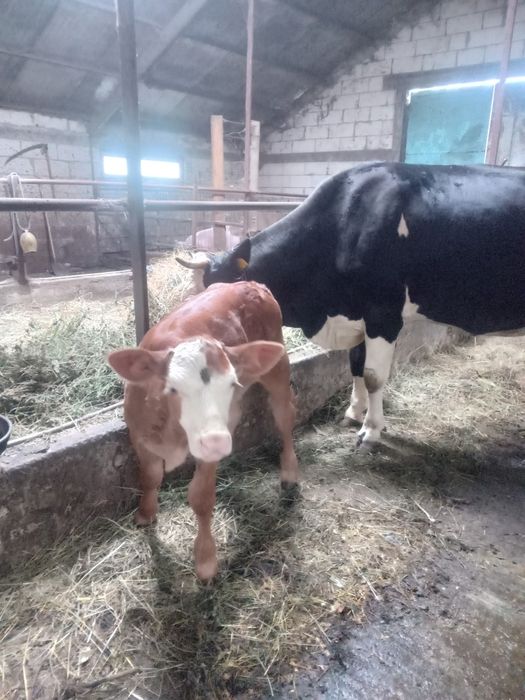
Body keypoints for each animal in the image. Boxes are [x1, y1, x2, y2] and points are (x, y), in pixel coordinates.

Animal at [108, 281, 298, 581]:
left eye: (232, 383)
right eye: (173, 387)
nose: (217, 441)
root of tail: (250, 283)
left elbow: (201, 497)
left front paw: (206, 560)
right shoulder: (139, 436)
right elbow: (149, 477)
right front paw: (145, 514)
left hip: (279, 368)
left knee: (285, 417)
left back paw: (290, 471)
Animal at [176, 161, 525, 446]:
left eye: (227, 299)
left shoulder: (383, 313)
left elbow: (373, 375)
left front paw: (371, 430)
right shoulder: (357, 314)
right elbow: (355, 365)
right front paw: (353, 413)